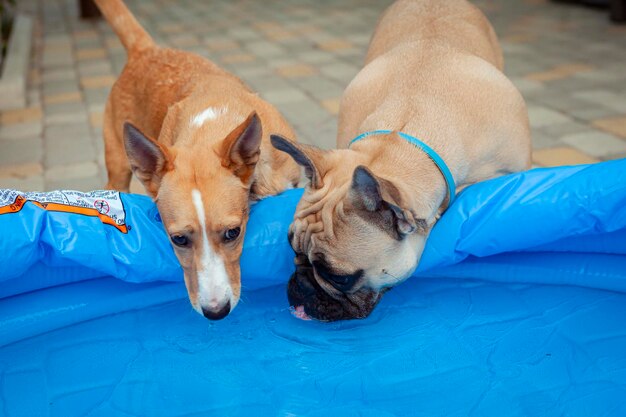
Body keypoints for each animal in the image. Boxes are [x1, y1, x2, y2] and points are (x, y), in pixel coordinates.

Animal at [95, 0, 300, 320]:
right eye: (179, 239)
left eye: (232, 233)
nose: (216, 312)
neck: (210, 127)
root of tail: (146, 50)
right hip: (117, 168)